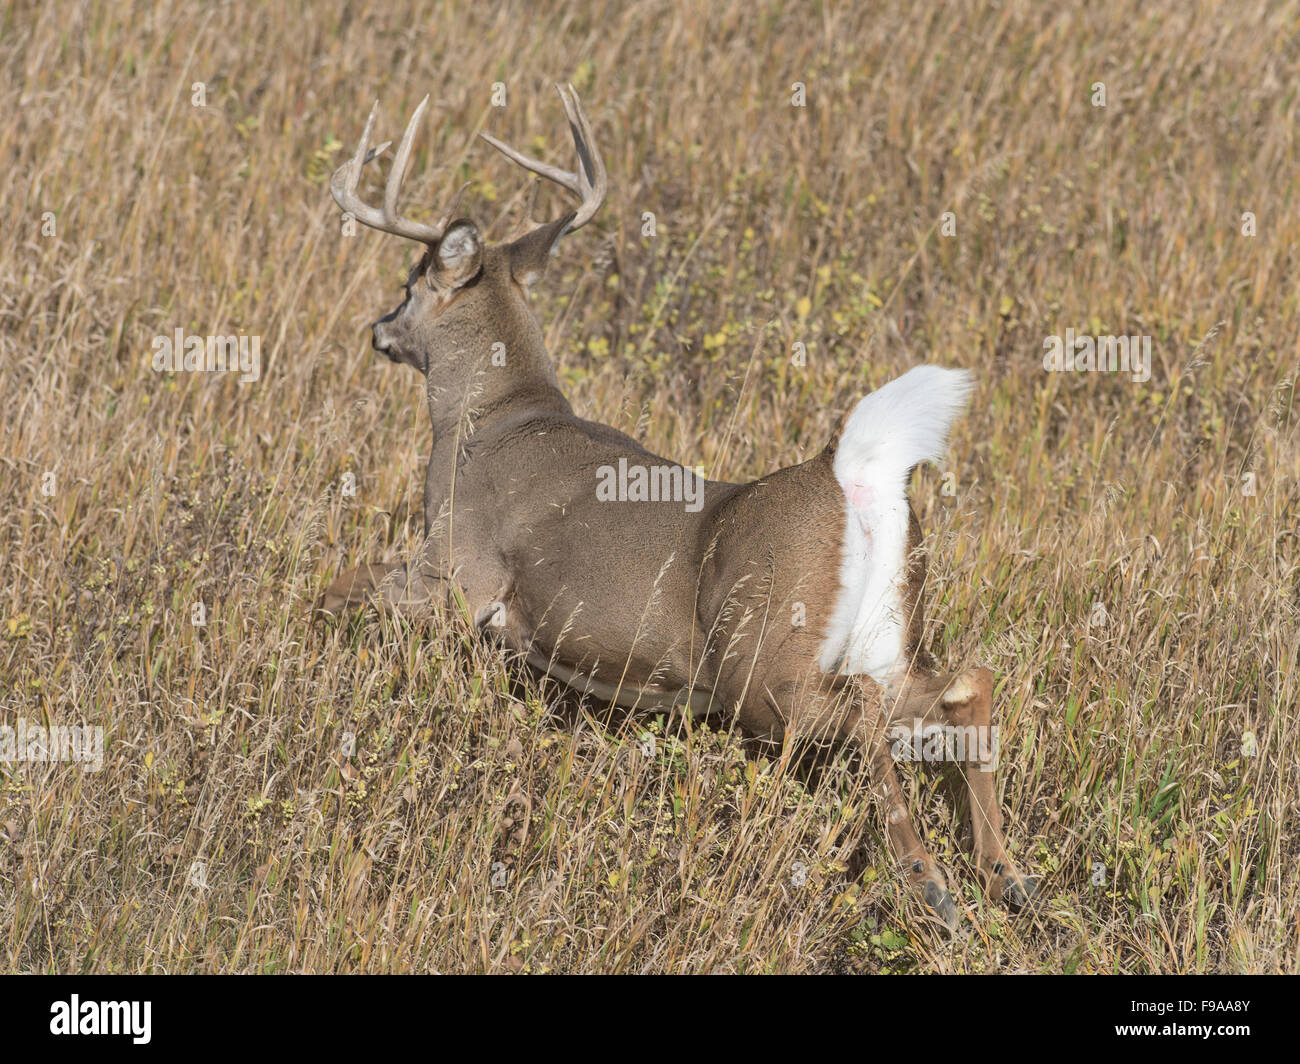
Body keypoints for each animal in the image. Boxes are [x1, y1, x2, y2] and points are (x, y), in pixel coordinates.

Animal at [319, 85, 1039, 928]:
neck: (487, 421)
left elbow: (338, 590)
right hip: (884, 637)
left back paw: (931, 884)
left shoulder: (460, 571)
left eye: (410, 281)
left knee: (865, 706)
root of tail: (858, 481)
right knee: (967, 682)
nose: (380, 329)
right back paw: (1005, 877)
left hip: (759, 662)